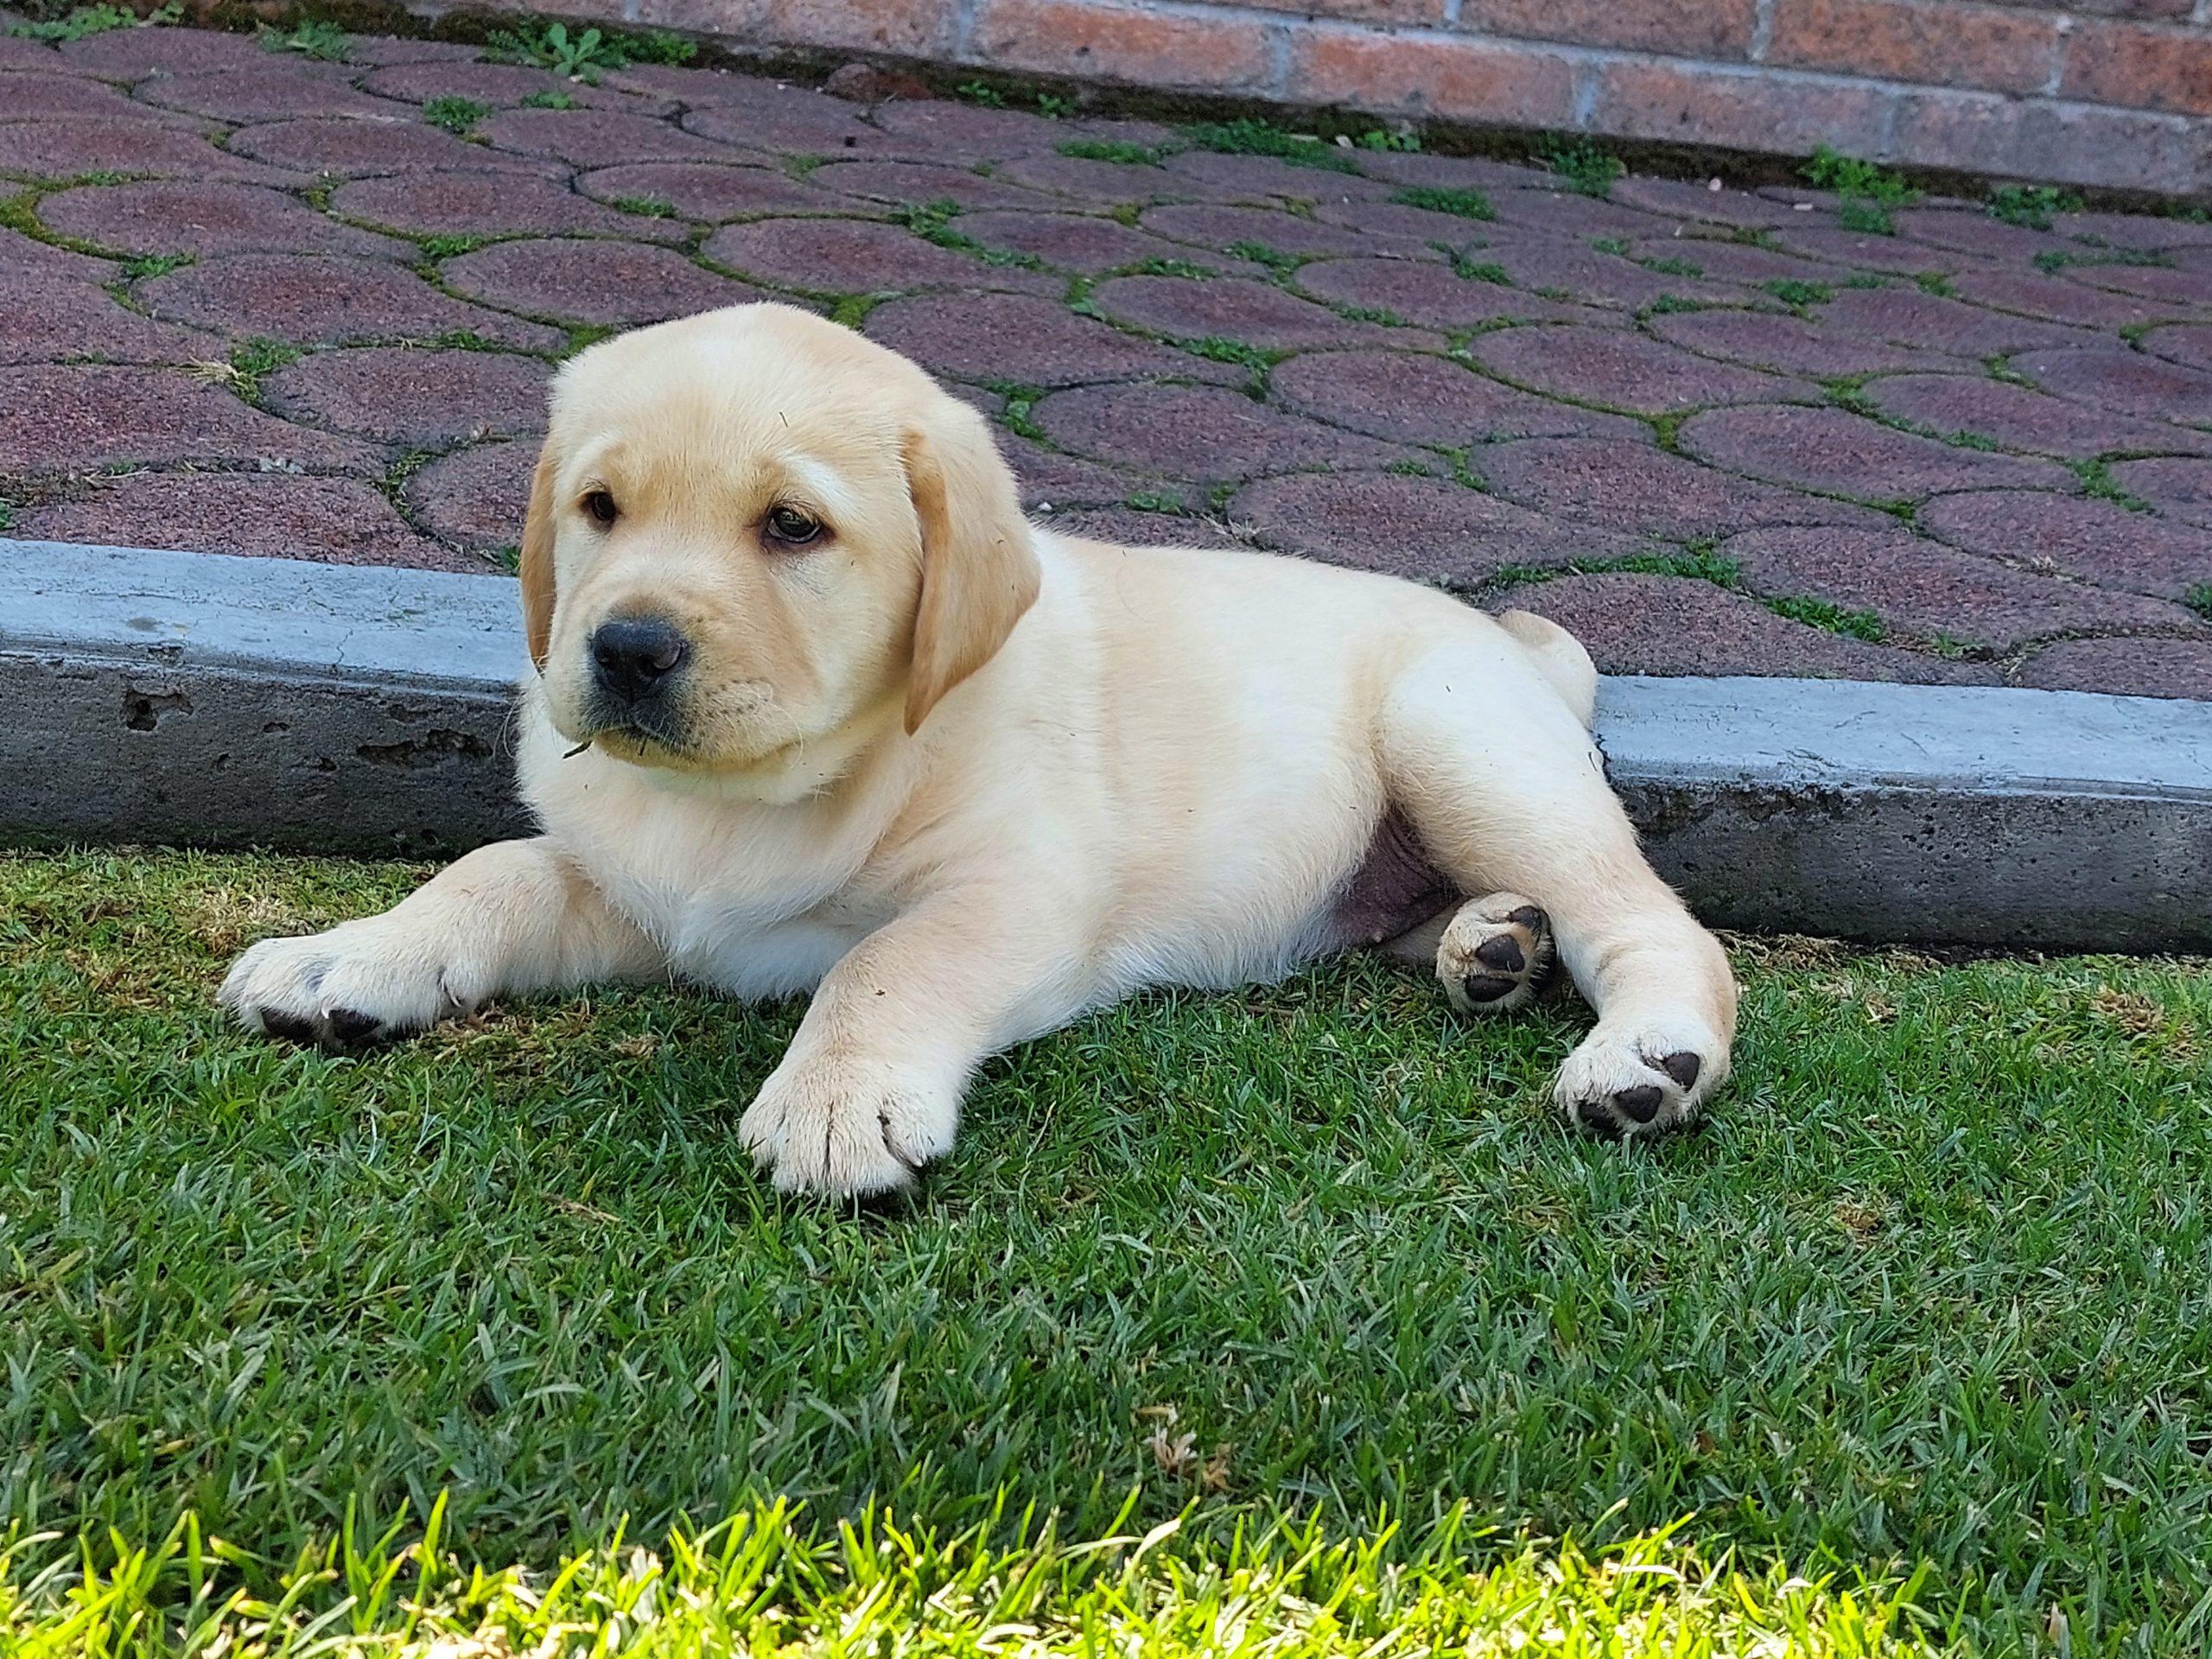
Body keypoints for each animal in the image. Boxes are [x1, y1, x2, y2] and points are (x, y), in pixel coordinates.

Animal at [224, 302, 1743, 1194]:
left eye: (792, 528)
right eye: (599, 508)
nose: (627, 648)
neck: (756, 798)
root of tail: (1524, 648)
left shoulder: (1021, 889)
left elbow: (895, 962)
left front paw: (839, 1101)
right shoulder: (634, 885)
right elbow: (490, 870)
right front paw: (344, 956)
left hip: (1459, 737)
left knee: (1656, 922)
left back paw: (1642, 1057)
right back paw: (1492, 944)